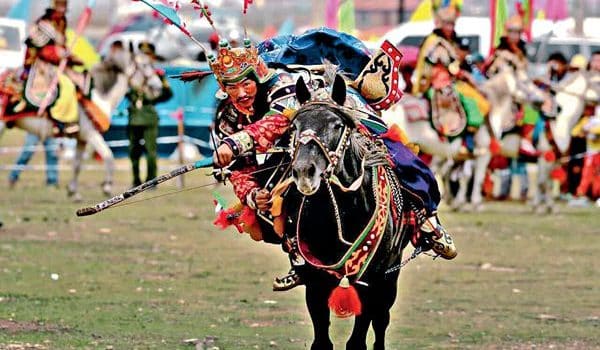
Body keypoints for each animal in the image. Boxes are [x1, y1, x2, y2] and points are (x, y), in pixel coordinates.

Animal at [288, 77, 418, 350]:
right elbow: (321, 339)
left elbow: (359, 337)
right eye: (295, 126)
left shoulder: (371, 277)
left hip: (391, 273)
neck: (346, 212)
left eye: (336, 125)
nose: (304, 172)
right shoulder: (315, 277)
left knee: (381, 320)